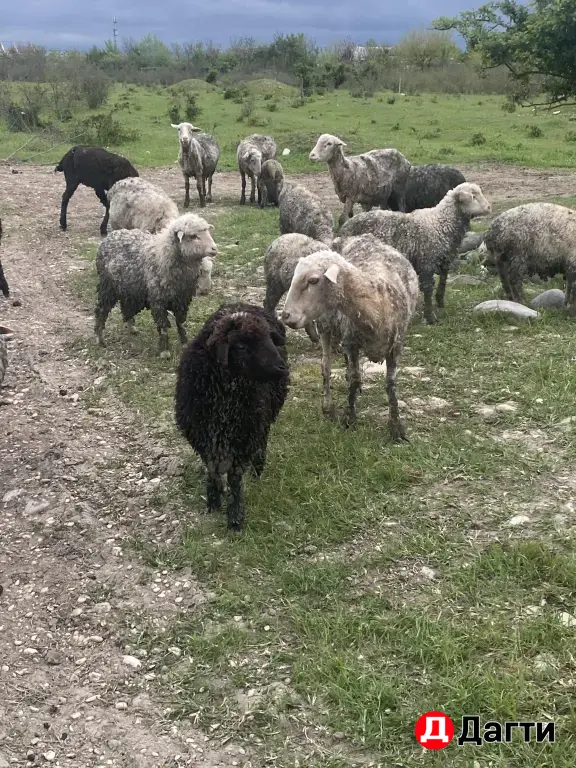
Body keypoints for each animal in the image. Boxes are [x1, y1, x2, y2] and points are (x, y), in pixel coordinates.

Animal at [94, 213, 218, 356]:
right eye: (193, 236)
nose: (214, 248)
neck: (163, 255)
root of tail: (110, 236)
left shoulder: (181, 299)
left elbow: (181, 322)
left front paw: (184, 342)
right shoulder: (158, 299)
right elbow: (163, 325)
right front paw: (165, 351)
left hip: (130, 288)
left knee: (126, 306)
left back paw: (132, 328)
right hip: (108, 285)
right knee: (101, 309)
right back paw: (100, 338)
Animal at [175, 302, 289, 531]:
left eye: (269, 339)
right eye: (241, 346)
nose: (281, 368)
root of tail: (241, 304)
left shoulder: (244, 436)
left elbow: (235, 479)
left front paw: (235, 519)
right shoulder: (202, 436)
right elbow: (212, 470)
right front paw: (213, 502)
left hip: (261, 421)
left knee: (262, 444)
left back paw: (257, 471)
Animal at [282, 234, 418, 441]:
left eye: (313, 280)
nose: (286, 316)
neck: (377, 304)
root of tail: (359, 236)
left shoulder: (395, 345)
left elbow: (390, 384)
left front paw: (396, 428)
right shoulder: (351, 342)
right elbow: (353, 378)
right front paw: (349, 419)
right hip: (325, 325)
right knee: (326, 367)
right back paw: (328, 408)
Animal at [337, 182, 491, 324]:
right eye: (473, 196)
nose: (489, 207)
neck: (440, 223)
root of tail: (344, 227)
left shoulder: (445, 261)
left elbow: (442, 283)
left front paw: (440, 303)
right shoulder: (427, 262)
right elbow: (428, 288)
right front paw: (430, 317)